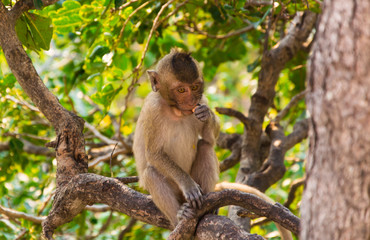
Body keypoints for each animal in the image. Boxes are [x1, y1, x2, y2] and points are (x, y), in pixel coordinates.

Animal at [133, 49, 220, 229]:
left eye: (194, 87)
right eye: (181, 90)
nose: (191, 101)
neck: (176, 111)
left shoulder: (202, 100)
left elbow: (210, 140)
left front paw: (206, 114)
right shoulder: (152, 110)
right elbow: (154, 154)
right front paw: (188, 184)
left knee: (205, 147)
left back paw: (208, 209)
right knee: (151, 172)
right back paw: (180, 217)